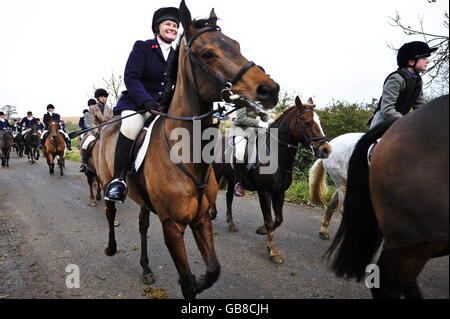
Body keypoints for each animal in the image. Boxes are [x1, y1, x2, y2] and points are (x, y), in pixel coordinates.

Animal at [96, 0, 280, 300]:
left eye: (237, 45)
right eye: (207, 53)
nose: (269, 90)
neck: (187, 154)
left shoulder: (201, 219)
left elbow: (213, 270)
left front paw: (201, 280)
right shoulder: (172, 225)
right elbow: (187, 281)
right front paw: (191, 283)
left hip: (144, 200)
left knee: (142, 226)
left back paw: (146, 268)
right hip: (106, 183)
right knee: (110, 212)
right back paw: (111, 247)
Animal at [210, 95, 330, 264]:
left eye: (319, 121)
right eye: (307, 122)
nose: (326, 150)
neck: (276, 155)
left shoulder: (280, 192)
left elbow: (277, 219)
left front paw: (262, 231)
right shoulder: (265, 192)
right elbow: (269, 220)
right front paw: (273, 251)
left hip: (232, 179)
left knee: (229, 197)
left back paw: (231, 223)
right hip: (216, 173)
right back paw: (212, 214)